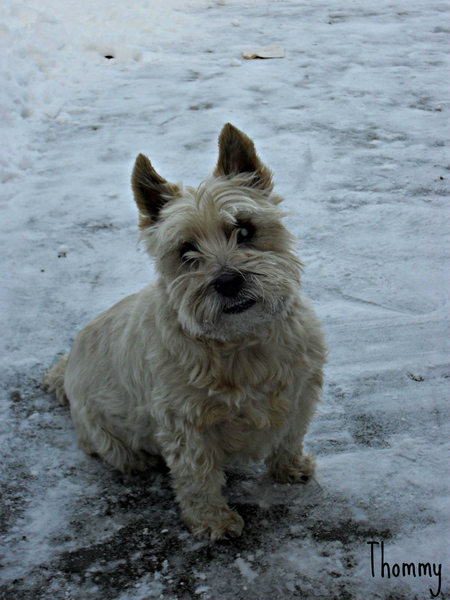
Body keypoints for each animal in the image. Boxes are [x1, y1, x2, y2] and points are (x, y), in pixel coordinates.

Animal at [44, 124, 326, 540]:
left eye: (245, 229)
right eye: (186, 251)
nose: (228, 281)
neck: (241, 344)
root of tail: (68, 369)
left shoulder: (301, 392)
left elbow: (290, 437)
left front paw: (289, 468)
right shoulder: (186, 425)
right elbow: (198, 476)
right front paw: (213, 521)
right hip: (100, 429)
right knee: (109, 448)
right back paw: (137, 460)